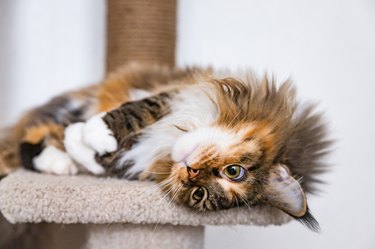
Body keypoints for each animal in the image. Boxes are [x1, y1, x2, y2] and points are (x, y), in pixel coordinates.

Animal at [0, 62, 330, 231]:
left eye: (198, 194)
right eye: (234, 171)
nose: (192, 170)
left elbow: (103, 156)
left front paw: (84, 141)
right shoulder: (177, 93)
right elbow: (140, 108)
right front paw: (94, 131)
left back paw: (62, 161)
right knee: (27, 139)